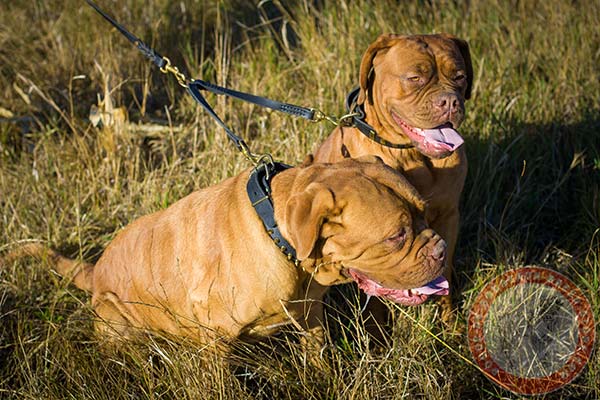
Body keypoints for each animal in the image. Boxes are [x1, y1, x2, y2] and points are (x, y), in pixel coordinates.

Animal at [2, 156, 448, 346]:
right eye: (396, 235)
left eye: (424, 212)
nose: (442, 249)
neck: (280, 235)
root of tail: (95, 271)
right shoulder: (215, 340)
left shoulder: (310, 318)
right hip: (116, 322)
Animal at [312, 33, 472, 322]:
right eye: (414, 78)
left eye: (459, 76)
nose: (450, 101)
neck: (413, 154)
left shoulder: (449, 217)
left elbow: (445, 276)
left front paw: (451, 323)